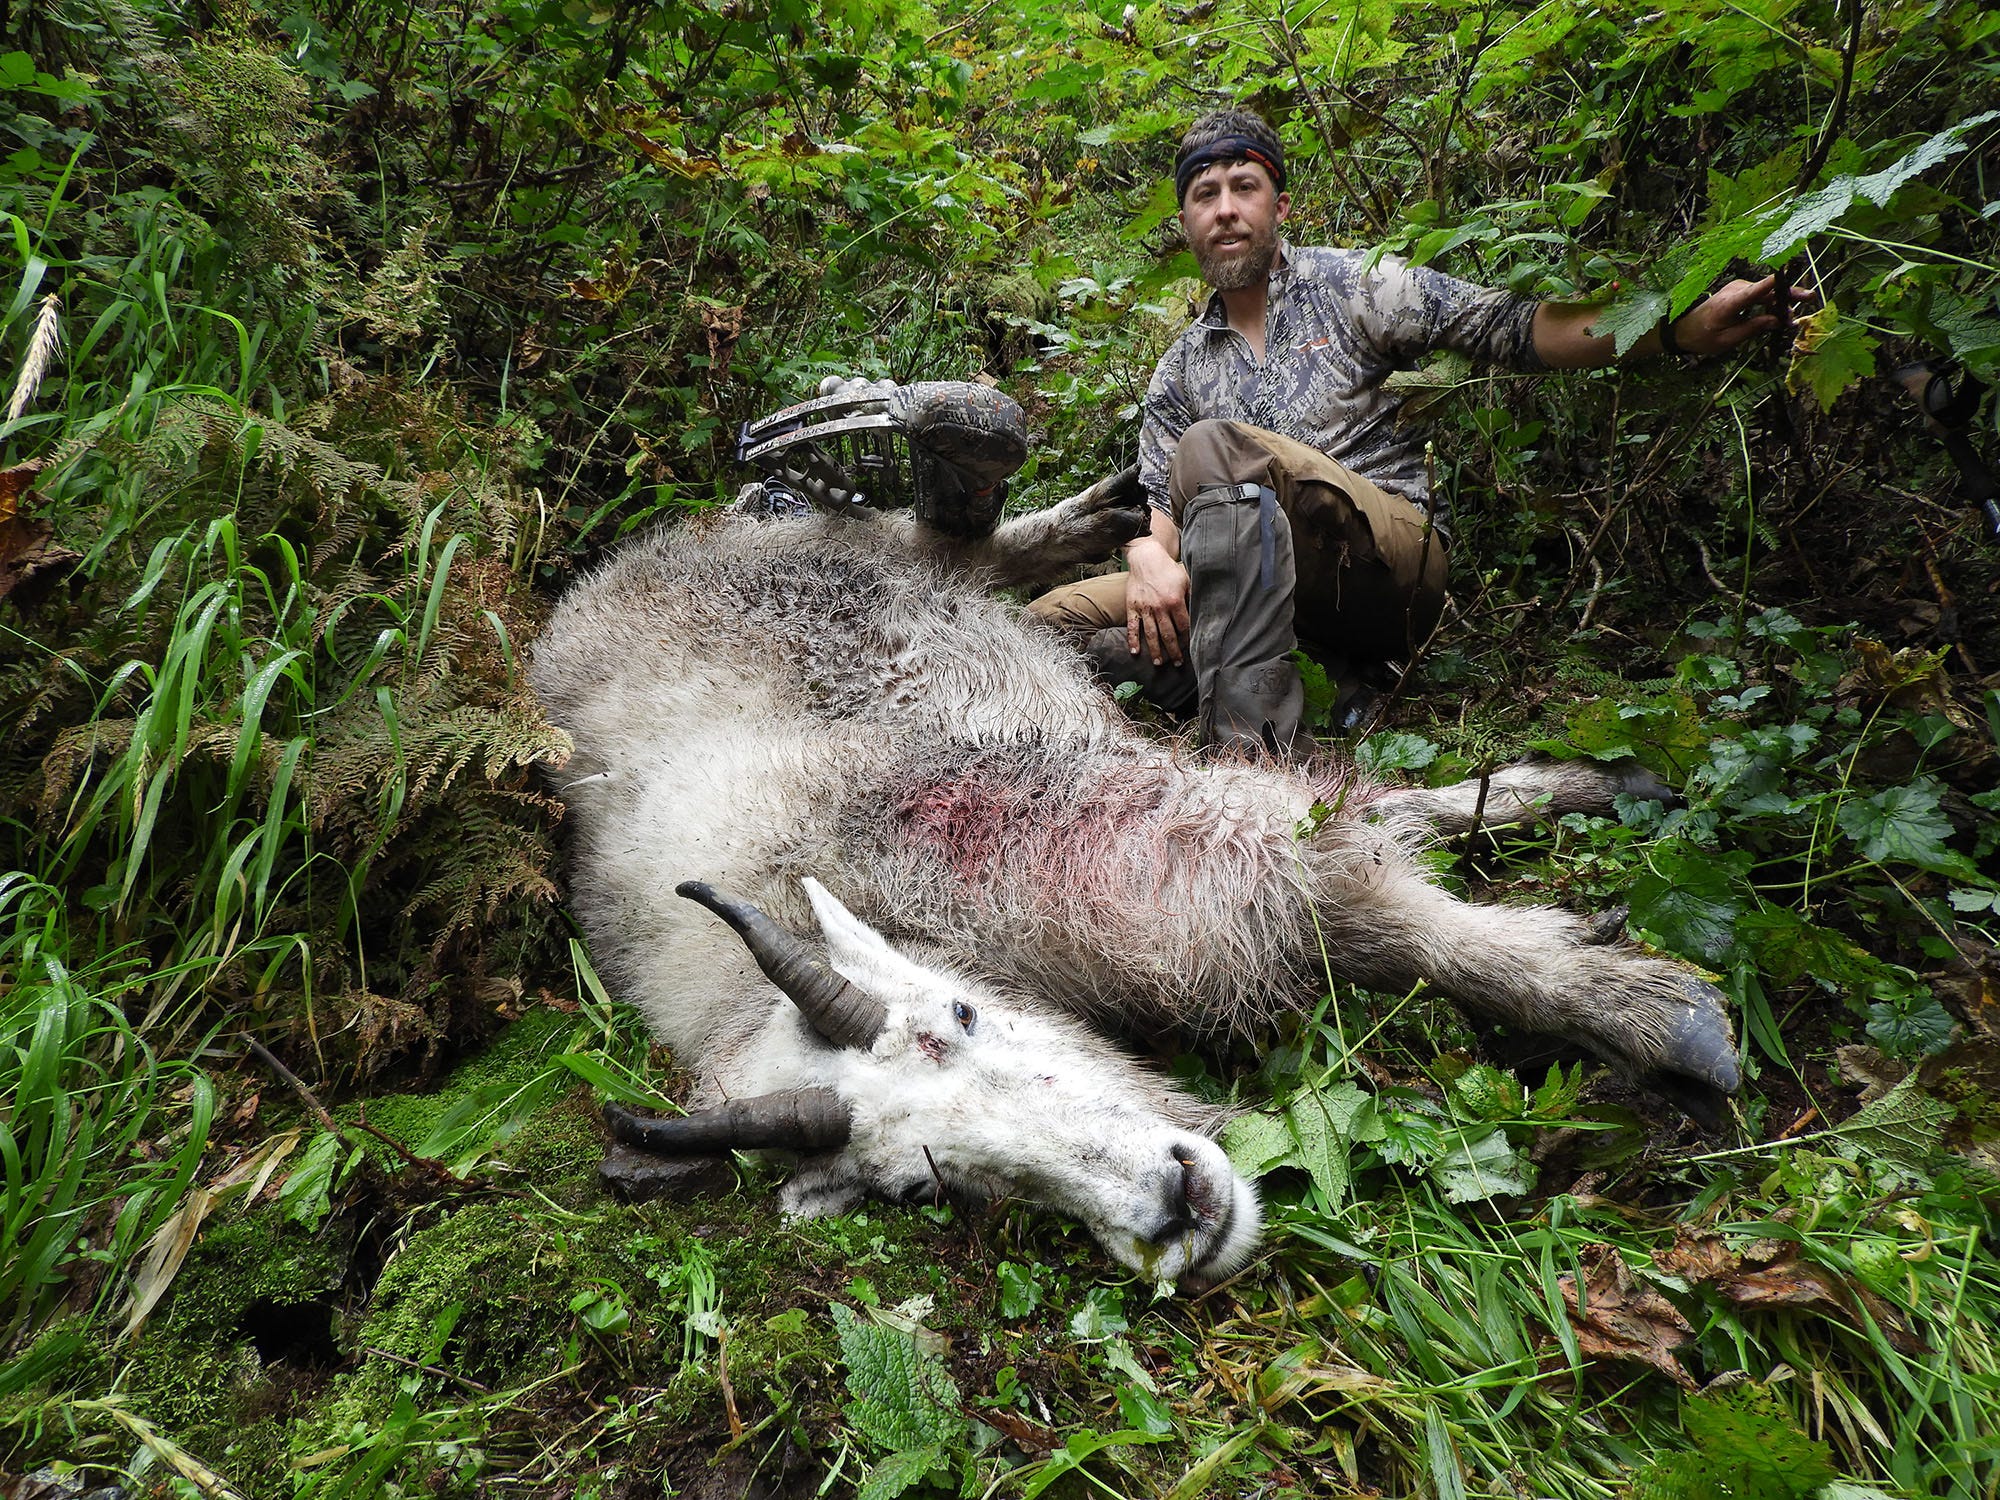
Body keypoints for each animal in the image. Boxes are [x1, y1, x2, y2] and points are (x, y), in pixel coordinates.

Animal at [529, 479, 1737, 1286]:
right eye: (924, 1187)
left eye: (959, 1017)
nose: (1178, 1210)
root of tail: (595, 583)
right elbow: (1364, 868)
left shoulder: (1079, 846)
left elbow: (1370, 905)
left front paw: (1643, 1009)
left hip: (815, 548)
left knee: (933, 541)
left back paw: (1077, 517)